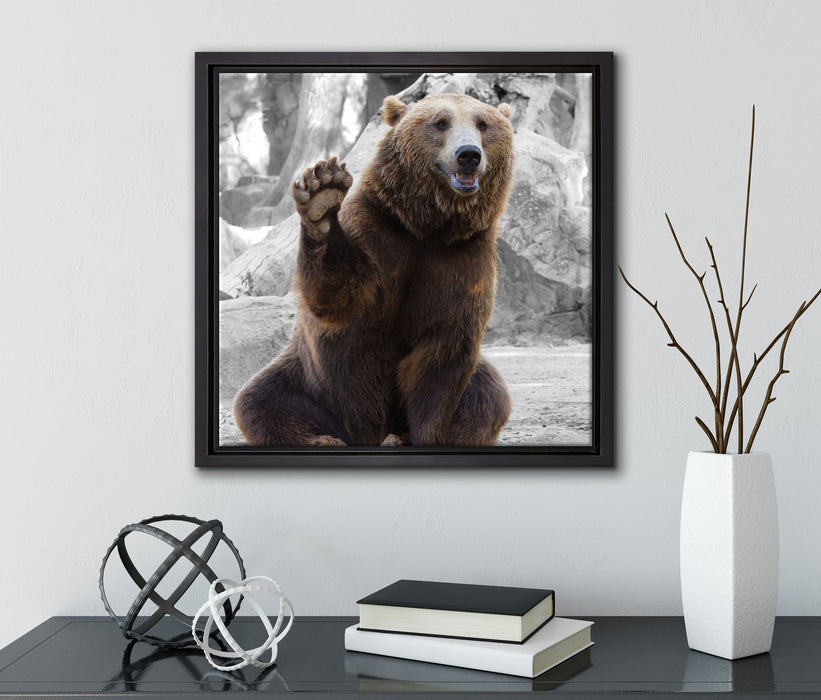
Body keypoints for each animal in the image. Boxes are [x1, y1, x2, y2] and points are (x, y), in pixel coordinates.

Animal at [234, 92, 515, 447]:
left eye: (483, 124)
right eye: (440, 122)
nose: (468, 155)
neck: (428, 227)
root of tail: (366, 433)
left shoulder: (462, 258)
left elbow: (444, 353)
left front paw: (426, 436)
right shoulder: (376, 233)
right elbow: (337, 297)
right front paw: (322, 195)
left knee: (489, 394)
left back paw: (400, 436)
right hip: (311, 383)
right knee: (261, 401)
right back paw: (324, 439)